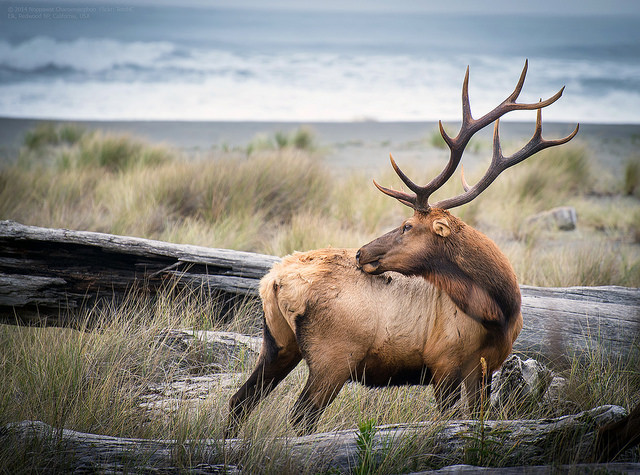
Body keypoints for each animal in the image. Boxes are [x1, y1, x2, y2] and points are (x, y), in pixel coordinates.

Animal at [226, 61, 580, 436]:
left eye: (407, 226)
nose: (360, 252)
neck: (499, 311)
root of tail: (272, 281)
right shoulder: (443, 363)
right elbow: (451, 420)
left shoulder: (485, 366)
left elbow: (477, 417)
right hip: (332, 357)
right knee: (299, 416)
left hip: (278, 344)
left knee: (240, 401)